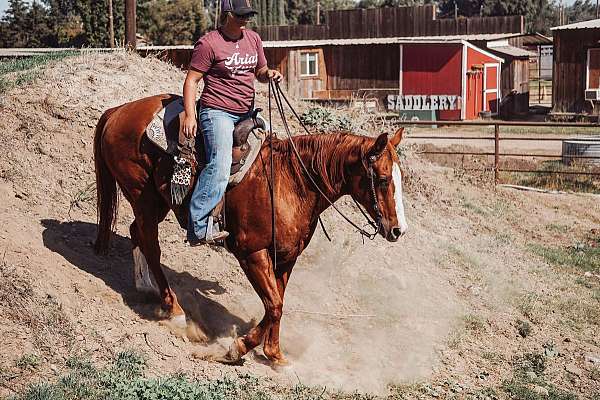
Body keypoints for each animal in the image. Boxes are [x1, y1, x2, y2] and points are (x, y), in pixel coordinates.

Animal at [94, 94, 408, 366]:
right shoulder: (252, 253)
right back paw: (174, 311)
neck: (291, 182)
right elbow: (274, 305)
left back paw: (145, 286)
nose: (398, 230)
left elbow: (277, 303)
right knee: (150, 243)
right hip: (144, 197)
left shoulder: (286, 257)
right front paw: (238, 348)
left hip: (155, 203)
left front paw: (274, 354)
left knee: (137, 232)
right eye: (382, 179)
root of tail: (118, 111)